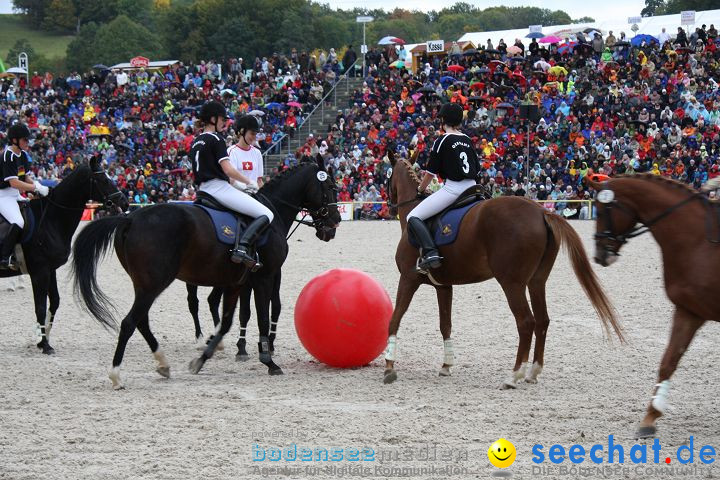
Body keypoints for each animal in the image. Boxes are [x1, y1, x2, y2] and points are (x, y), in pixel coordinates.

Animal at [0, 157, 126, 352]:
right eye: (103, 180)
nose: (125, 202)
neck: (51, 220)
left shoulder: (50, 270)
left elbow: (54, 302)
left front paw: (41, 339)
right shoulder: (39, 272)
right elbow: (40, 307)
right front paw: (44, 344)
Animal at [73, 161, 340, 390]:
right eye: (329, 187)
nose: (334, 224)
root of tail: (130, 218)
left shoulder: (236, 283)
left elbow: (228, 321)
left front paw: (202, 360)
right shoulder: (264, 278)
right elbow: (262, 318)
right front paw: (268, 360)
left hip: (145, 284)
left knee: (142, 321)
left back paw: (163, 364)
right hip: (154, 284)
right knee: (130, 322)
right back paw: (116, 375)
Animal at [382, 156, 624, 388]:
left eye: (387, 178)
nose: (390, 207)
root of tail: (541, 211)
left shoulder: (408, 279)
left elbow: (395, 318)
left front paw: (389, 367)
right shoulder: (444, 286)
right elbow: (445, 325)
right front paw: (446, 366)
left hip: (511, 283)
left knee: (526, 322)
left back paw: (514, 375)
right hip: (537, 282)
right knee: (542, 320)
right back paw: (533, 372)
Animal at [588, 173, 716, 438]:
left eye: (602, 210)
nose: (598, 255)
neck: (699, 242)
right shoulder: (689, 311)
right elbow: (668, 361)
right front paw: (650, 417)